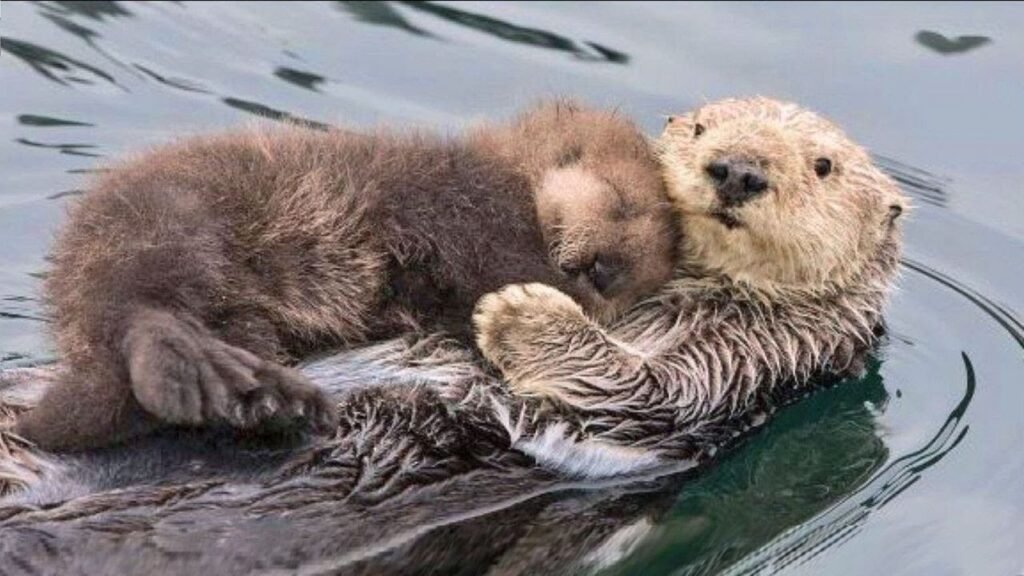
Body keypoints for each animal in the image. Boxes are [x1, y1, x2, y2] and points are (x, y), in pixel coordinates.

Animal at [16, 103, 679, 453]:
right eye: (622, 203)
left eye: (643, 276)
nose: (607, 271)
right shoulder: (473, 208)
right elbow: (501, 264)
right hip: (168, 221)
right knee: (141, 309)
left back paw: (263, 397)